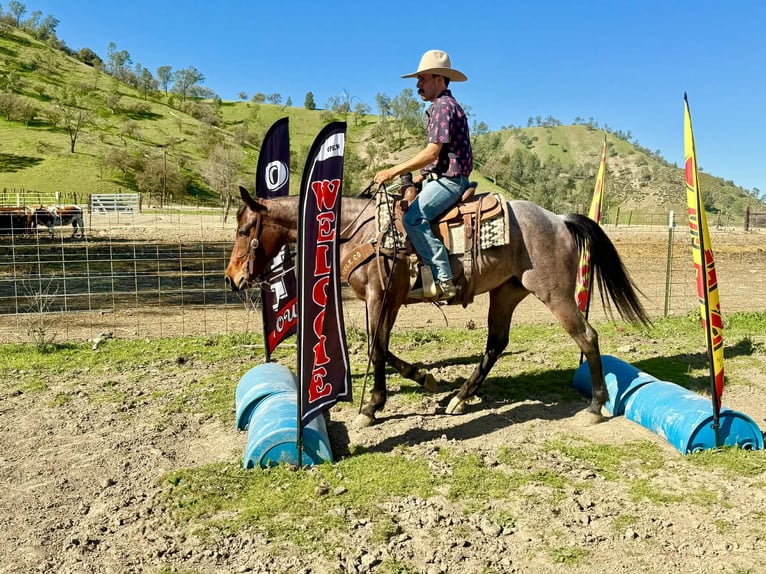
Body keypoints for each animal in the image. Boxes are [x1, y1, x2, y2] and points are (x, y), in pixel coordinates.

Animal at [225, 185, 649, 428]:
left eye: (244, 230)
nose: (232, 279)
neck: (358, 231)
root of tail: (559, 220)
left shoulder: (381, 296)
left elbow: (376, 348)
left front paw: (370, 408)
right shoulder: (383, 300)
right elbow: (380, 347)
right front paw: (421, 380)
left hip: (555, 295)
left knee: (587, 336)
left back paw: (595, 406)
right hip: (506, 293)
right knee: (496, 344)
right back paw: (459, 398)